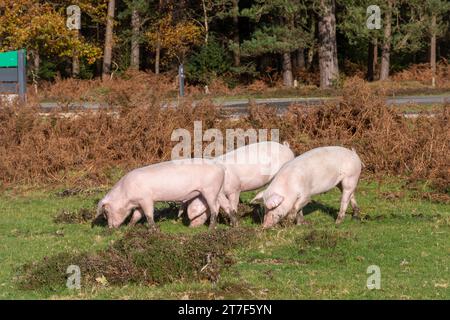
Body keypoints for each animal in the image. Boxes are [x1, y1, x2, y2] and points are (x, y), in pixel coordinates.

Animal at [95, 159, 229, 230]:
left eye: (106, 211)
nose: (110, 228)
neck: (125, 194)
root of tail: (220, 167)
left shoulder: (146, 199)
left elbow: (149, 215)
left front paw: (154, 230)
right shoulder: (139, 203)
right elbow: (136, 216)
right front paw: (129, 227)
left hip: (210, 190)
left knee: (215, 208)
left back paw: (211, 229)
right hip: (219, 190)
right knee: (226, 205)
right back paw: (233, 225)